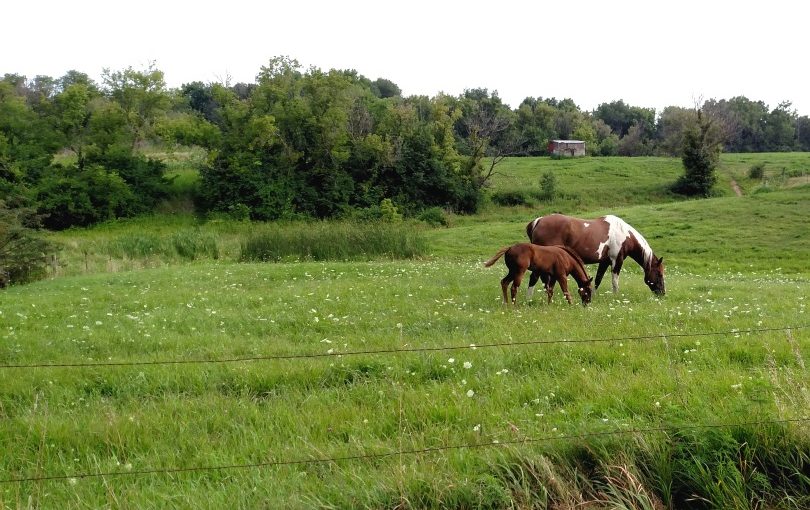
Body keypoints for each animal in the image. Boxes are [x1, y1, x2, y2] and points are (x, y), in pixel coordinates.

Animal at [524, 214, 664, 294]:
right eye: (660, 274)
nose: (663, 293)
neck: (624, 234)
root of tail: (538, 221)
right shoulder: (617, 260)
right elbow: (615, 281)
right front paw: (616, 296)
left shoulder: (604, 262)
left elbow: (598, 280)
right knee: (534, 278)